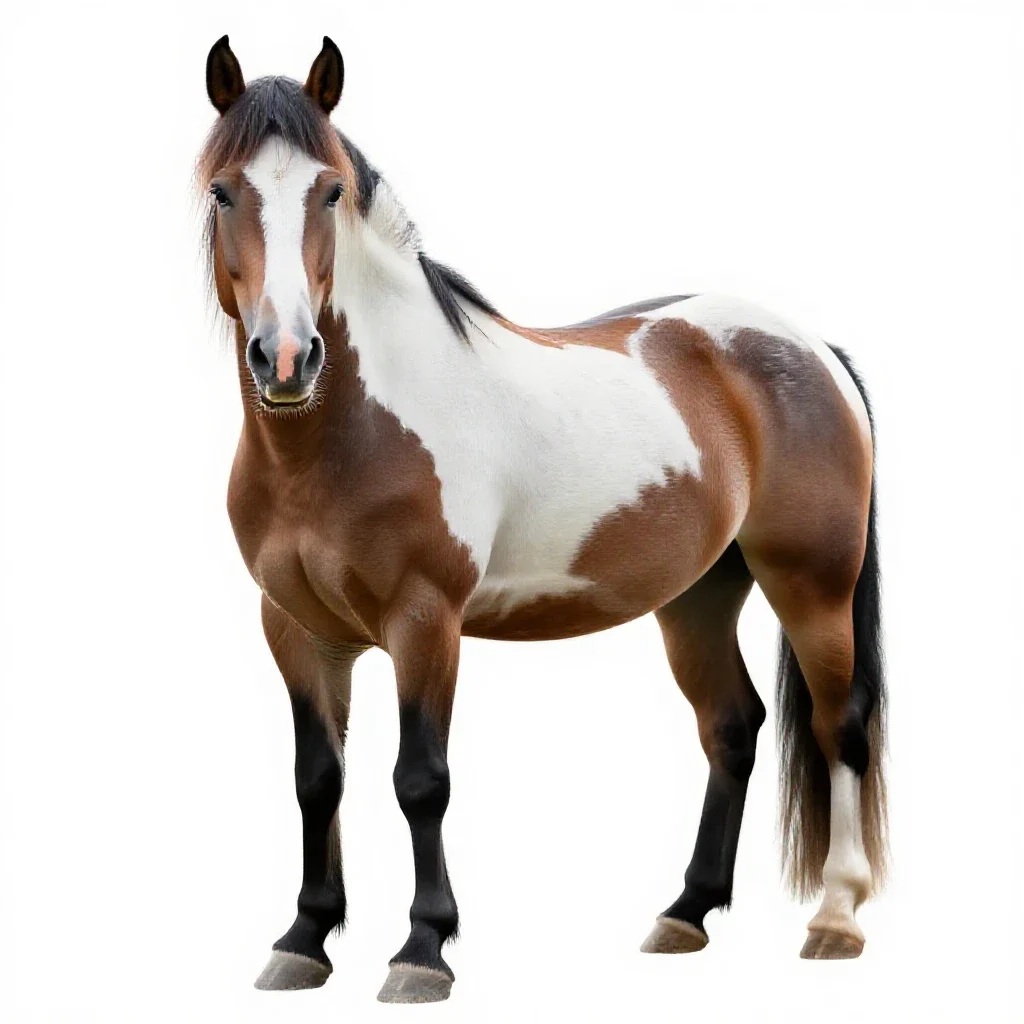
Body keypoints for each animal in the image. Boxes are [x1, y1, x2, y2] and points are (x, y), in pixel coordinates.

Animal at [198, 35, 888, 1004]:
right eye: (225, 190)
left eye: (329, 191)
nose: (287, 357)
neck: (342, 437)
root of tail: (814, 348)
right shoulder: (295, 628)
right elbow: (317, 779)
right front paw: (303, 939)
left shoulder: (426, 621)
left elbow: (421, 780)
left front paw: (422, 950)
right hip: (699, 596)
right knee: (732, 727)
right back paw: (685, 914)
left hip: (811, 586)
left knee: (841, 725)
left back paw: (835, 920)